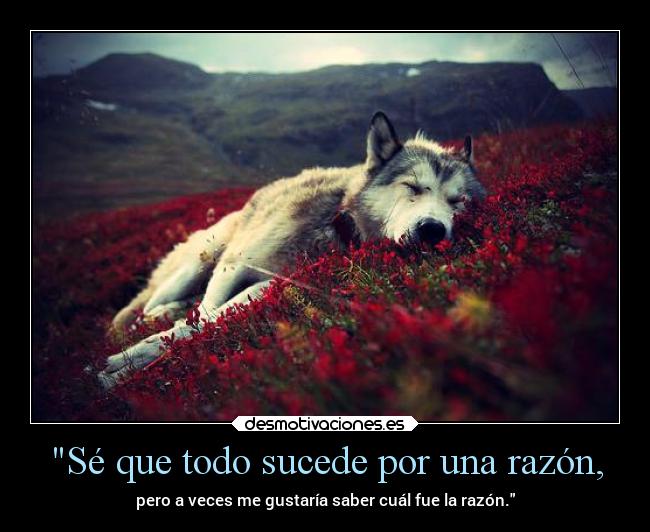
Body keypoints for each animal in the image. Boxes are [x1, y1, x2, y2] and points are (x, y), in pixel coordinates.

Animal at [98, 112, 485, 388]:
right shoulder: (233, 266)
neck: (335, 224)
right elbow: (203, 318)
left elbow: (204, 324)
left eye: (458, 201)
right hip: (202, 259)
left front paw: (125, 368)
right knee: (145, 307)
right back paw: (150, 318)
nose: (432, 229)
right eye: (412, 187)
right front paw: (125, 363)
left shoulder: (271, 285)